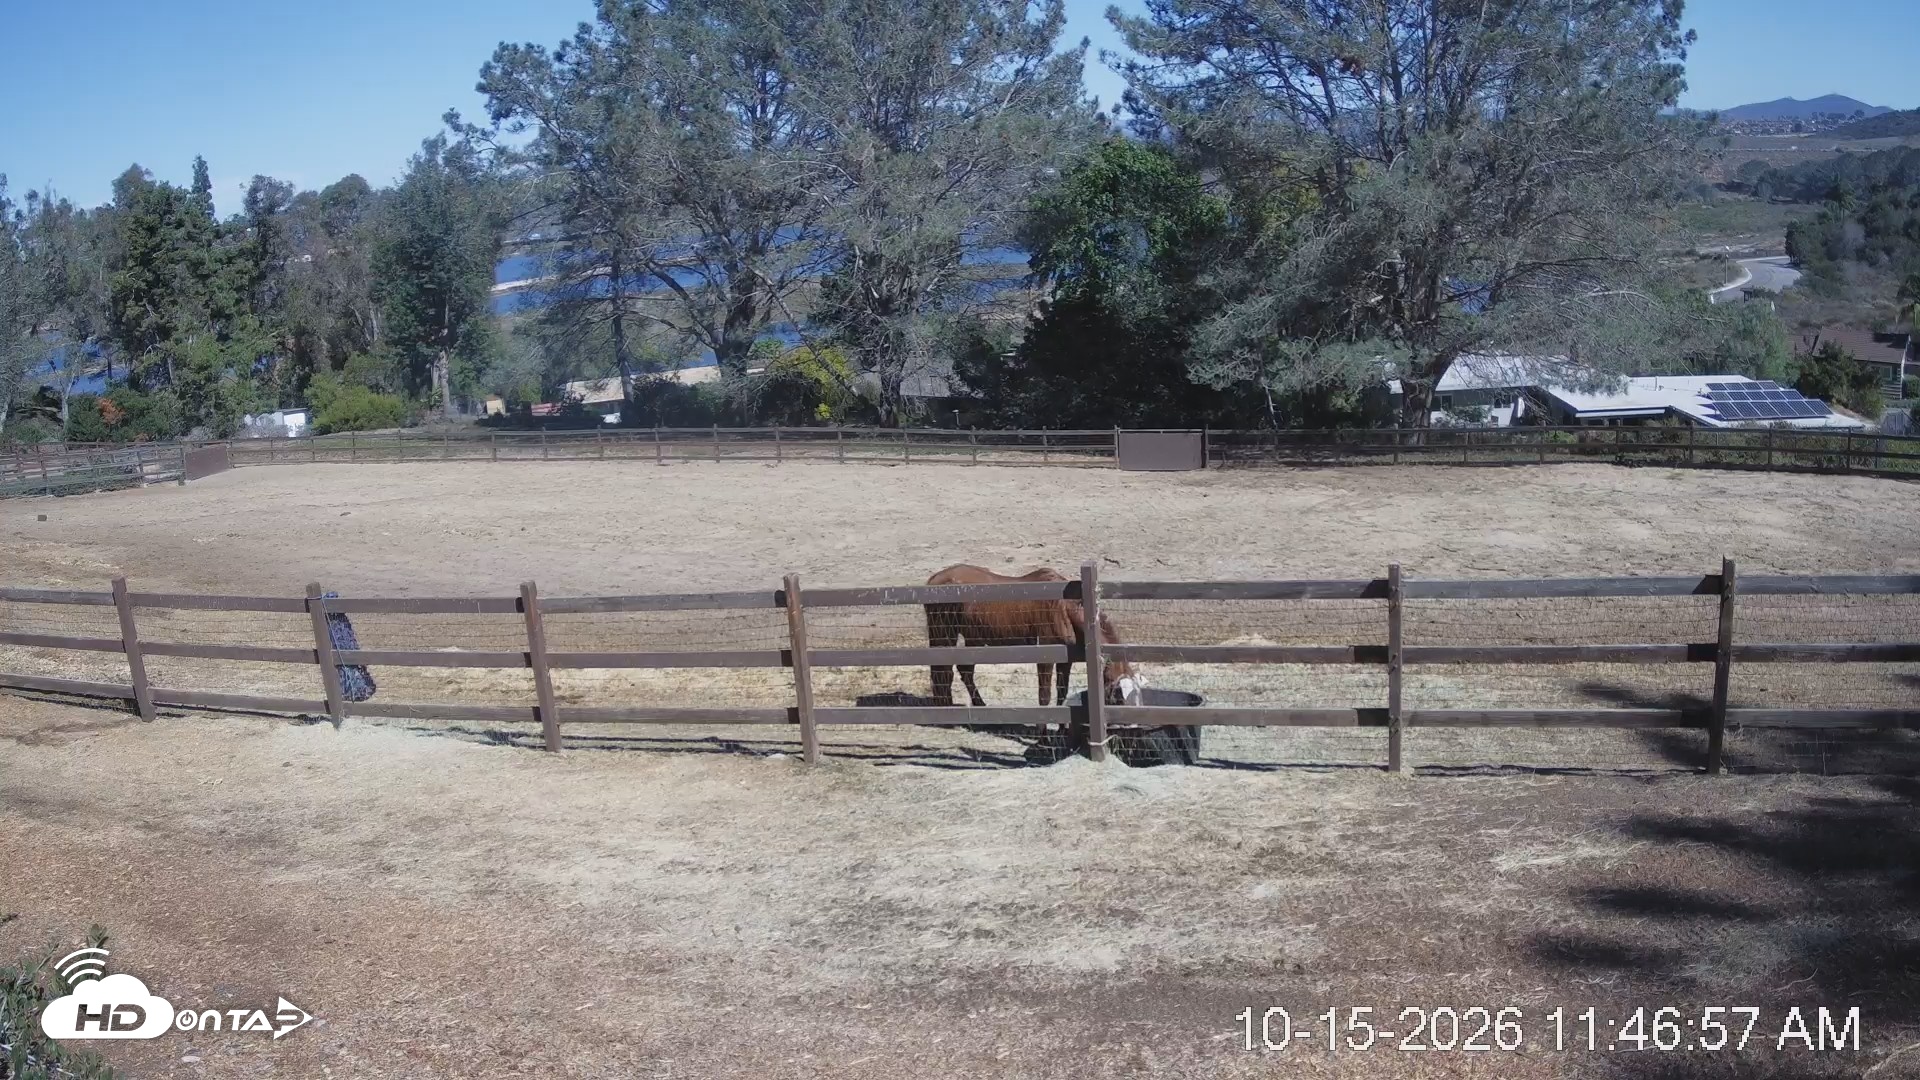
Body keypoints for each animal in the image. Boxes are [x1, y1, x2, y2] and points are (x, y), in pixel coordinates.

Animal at [922, 564, 1143, 708]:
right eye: (1119, 698)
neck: (1062, 607)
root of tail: (933, 580)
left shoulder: (1066, 659)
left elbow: (1061, 692)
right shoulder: (1046, 657)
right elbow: (1044, 696)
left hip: (972, 638)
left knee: (963, 670)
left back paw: (978, 705)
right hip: (944, 634)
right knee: (942, 672)